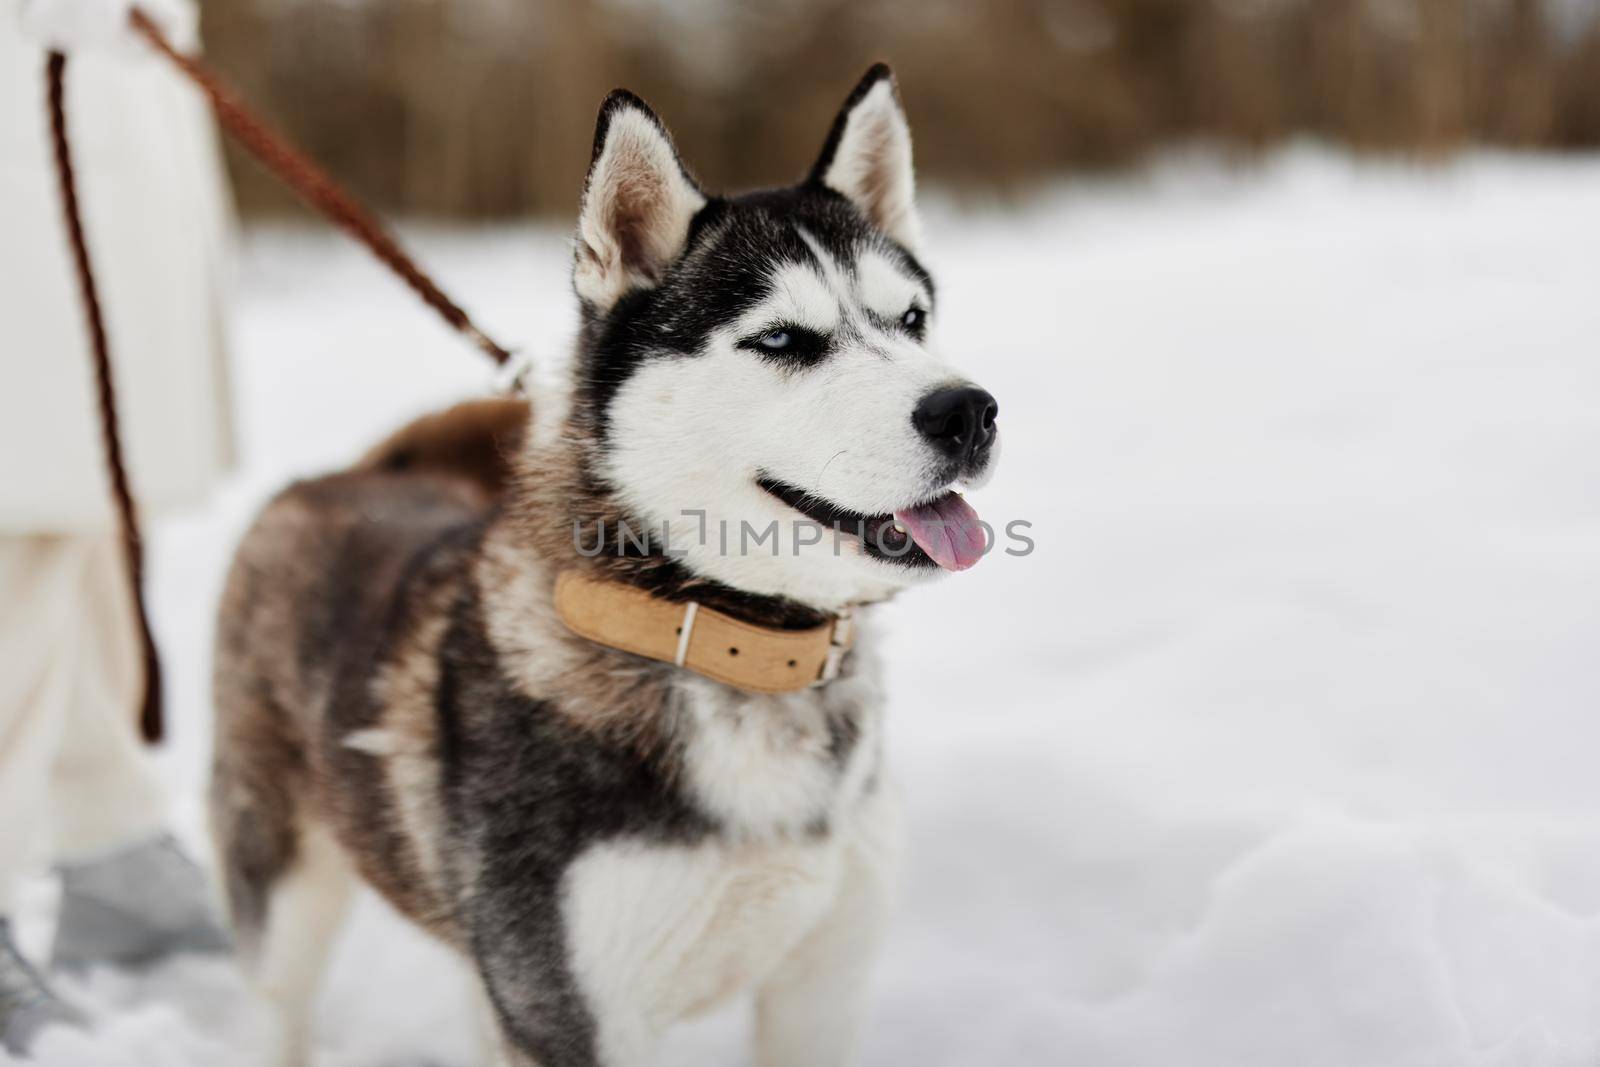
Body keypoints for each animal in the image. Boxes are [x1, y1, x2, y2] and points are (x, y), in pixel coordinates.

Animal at [212, 66, 998, 1067]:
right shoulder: (570, 1010)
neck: (728, 645)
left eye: (912, 320)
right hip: (285, 892)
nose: (969, 411)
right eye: (782, 339)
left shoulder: (820, 987)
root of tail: (346, 473)